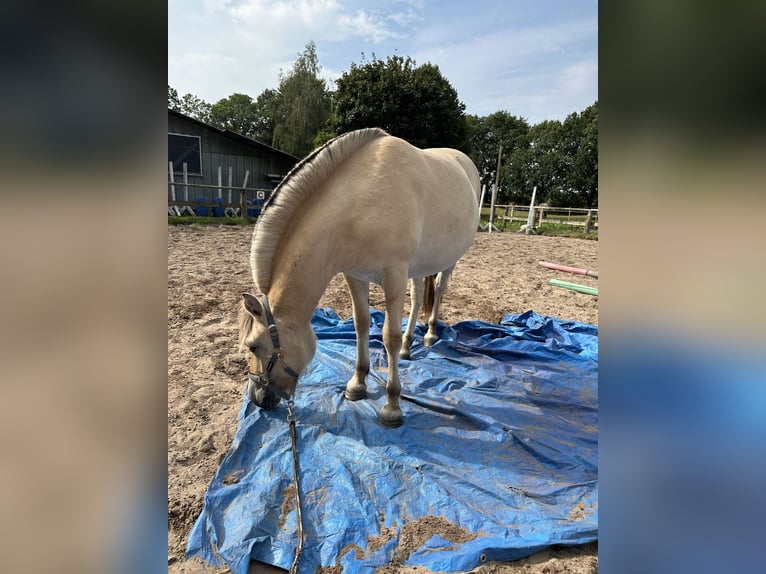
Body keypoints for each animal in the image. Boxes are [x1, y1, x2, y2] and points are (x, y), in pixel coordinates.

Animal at [240, 129, 480, 428]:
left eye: (252, 346)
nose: (258, 398)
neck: (360, 206)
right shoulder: (355, 276)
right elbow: (361, 325)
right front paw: (358, 383)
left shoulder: (394, 276)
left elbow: (389, 336)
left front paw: (391, 405)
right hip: (417, 268)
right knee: (416, 298)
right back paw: (408, 347)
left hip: (449, 261)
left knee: (439, 288)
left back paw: (431, 334)